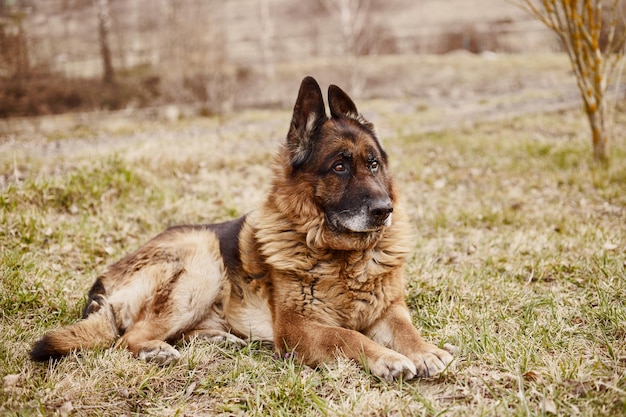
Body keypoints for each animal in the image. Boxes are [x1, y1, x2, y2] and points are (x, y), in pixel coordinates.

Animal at [30, 76, 448, 378]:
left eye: (373, 164)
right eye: (340, 167)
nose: (384, 210)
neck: (344, 257)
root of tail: (105, 277)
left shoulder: (389, 309)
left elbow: (406, 330)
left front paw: (426, 351)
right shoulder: (299, 329)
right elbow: (347, 336)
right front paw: (387, 358)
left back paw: (219, 339)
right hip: (200, 260)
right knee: (126, 339)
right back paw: (157, 350)